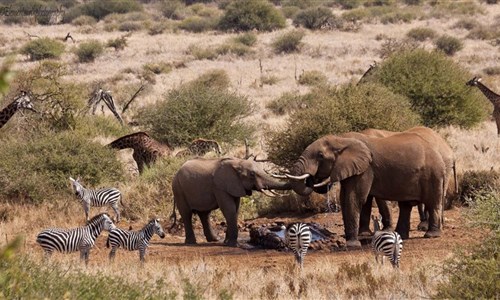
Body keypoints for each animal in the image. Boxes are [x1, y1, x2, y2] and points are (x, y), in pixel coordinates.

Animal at [288, 132, 448, 247]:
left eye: (320, 156)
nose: (311, 179)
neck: (341, 139)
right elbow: (346, 199)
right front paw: (359, 238)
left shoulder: (365, 170)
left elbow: (354, 199)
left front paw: (352, 244)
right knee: (406, 206)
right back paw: (400, 235)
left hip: (433, 175)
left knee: (433, 203)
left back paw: (431, 235)